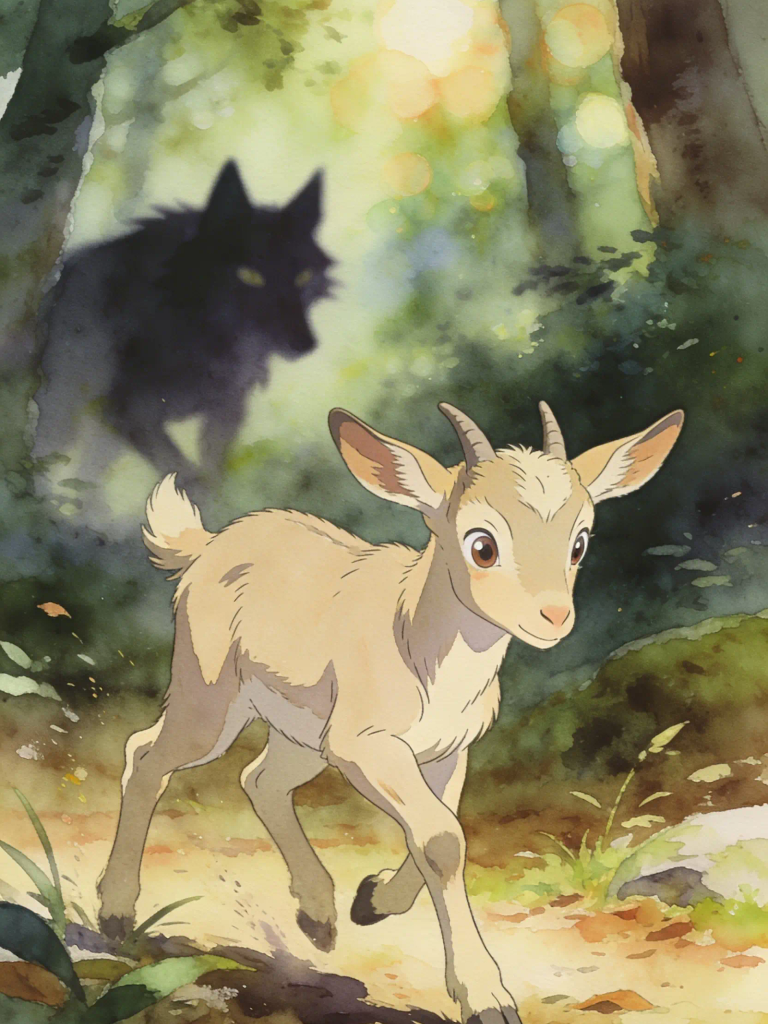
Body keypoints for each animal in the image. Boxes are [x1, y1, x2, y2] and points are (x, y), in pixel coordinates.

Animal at [33, 161, 333, 487]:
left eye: (303, 276)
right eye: (250, 275)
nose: (306, 344)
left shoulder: (226, 413)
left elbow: (210, 478)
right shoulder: (131, 413)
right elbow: (188, 477)